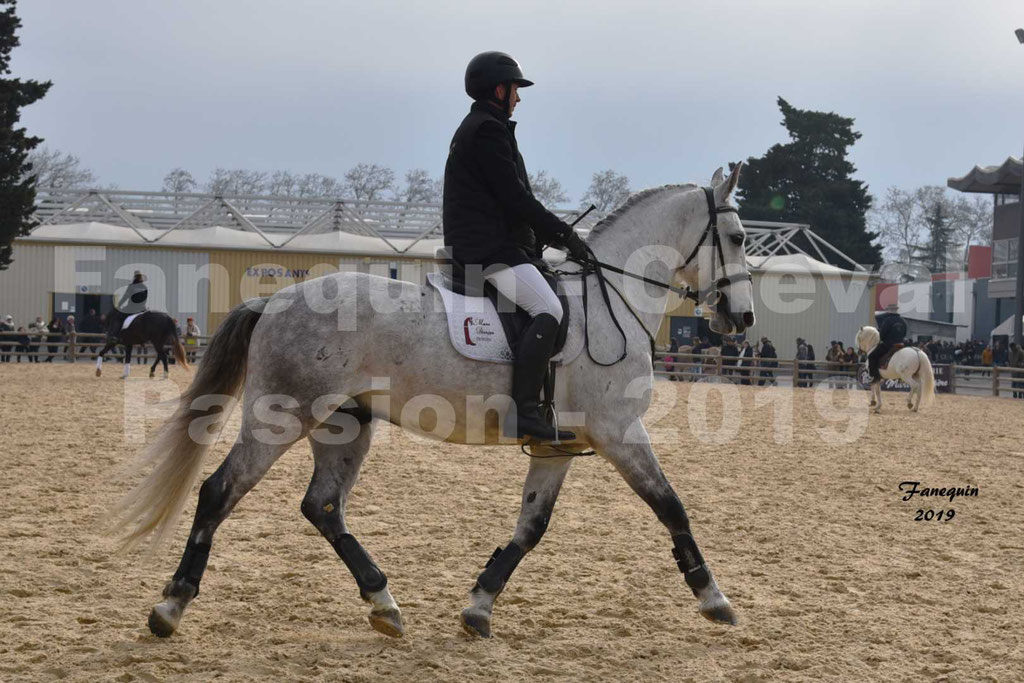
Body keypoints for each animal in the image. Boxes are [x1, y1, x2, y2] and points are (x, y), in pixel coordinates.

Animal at [114, 165, 753, 643]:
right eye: (740, 238)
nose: (742, 320)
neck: (608, 302)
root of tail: (272, 300)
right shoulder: (620, 431)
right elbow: (671, 507)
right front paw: (714, 598)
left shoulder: (560, 447)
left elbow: (531, 527)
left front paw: (478, 607)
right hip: (281, 418)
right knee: (221, 491)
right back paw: (170, 608)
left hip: (346, 425)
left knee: (323, 506)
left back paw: (384, 604)